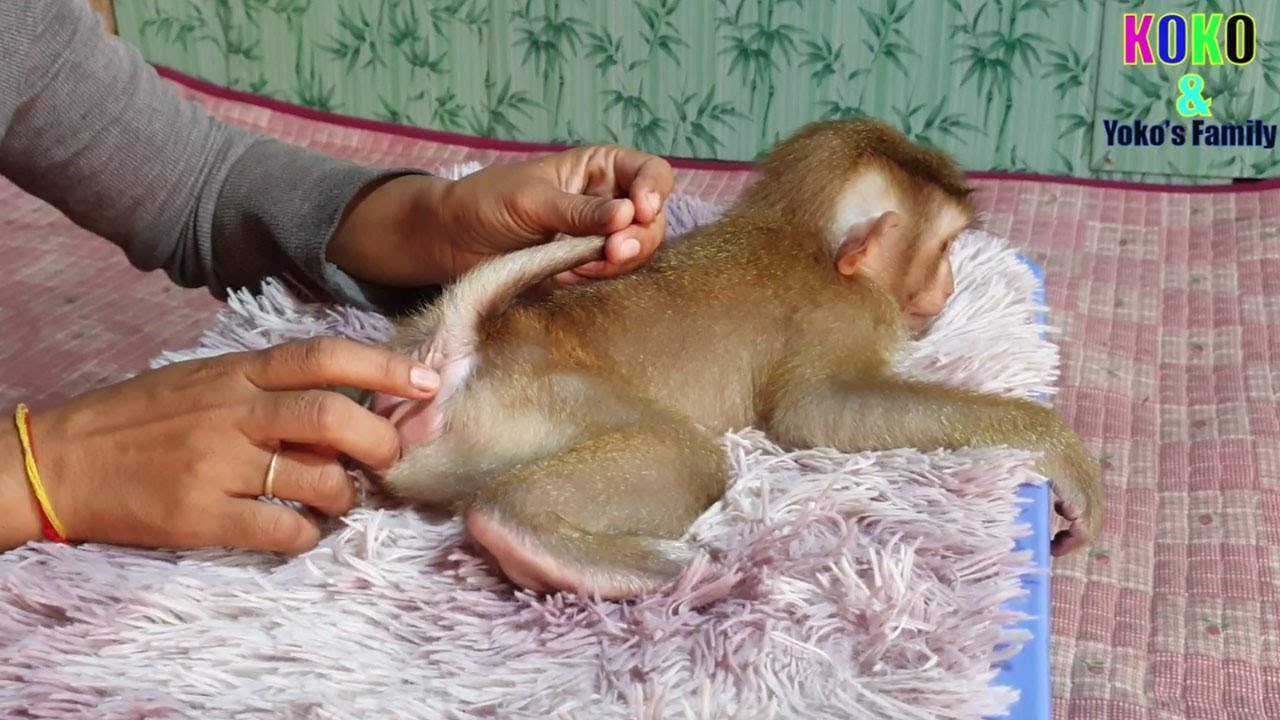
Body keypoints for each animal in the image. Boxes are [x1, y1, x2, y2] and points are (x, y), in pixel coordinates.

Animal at [362, 117, 1103, 601]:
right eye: (945, 248)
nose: (946, 288)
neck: (805, 234)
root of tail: (464, 350)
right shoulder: (845, 314)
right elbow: (813, 413)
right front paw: (1052, 443)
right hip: (538, 407)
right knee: (686, 458)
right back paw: (539, 540)